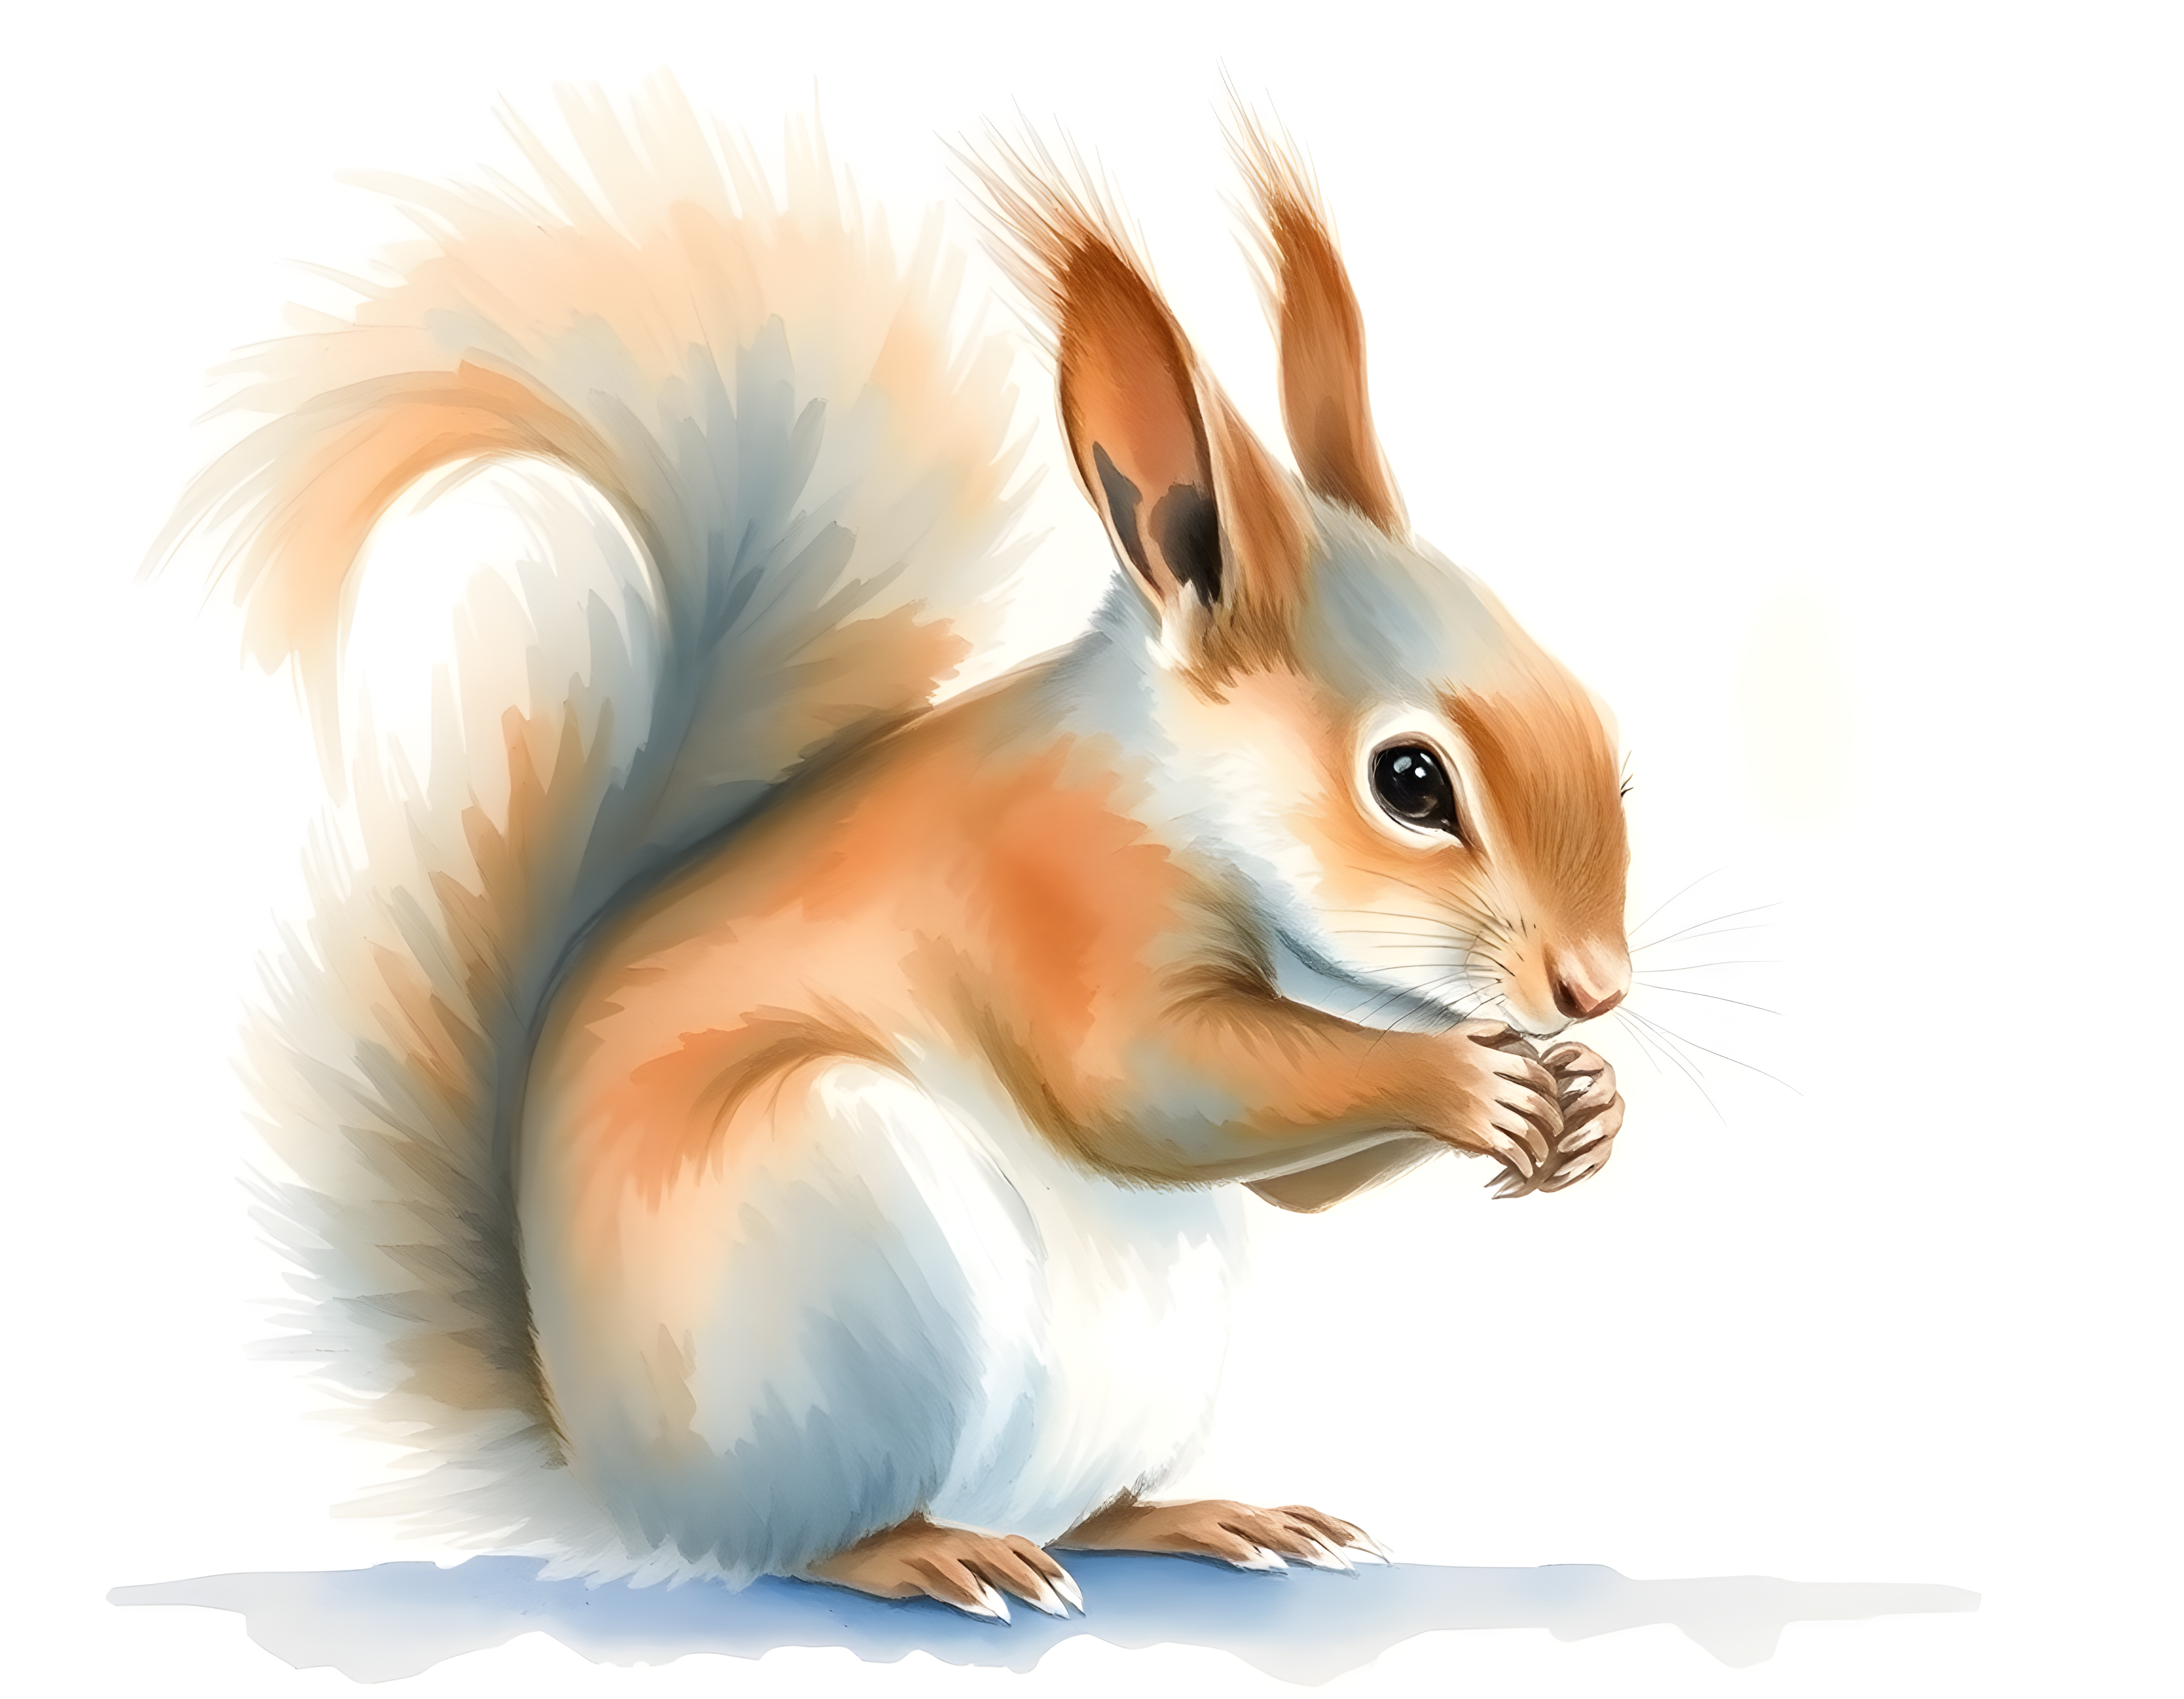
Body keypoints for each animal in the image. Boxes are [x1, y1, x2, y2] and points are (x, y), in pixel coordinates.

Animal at [157, 87, 1631, 1621]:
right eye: (1410, 781)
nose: (1595, 988)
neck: (1168, 786)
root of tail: (615, 1481)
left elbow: (1287, 1177)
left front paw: (1585, 1100)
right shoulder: (1045, 888)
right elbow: (1144, 1081)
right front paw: (1470, 1081)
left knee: (1091, 1508)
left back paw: (1200, 1515)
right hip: (835, 1221)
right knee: (808, 1535)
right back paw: (928, 1549)